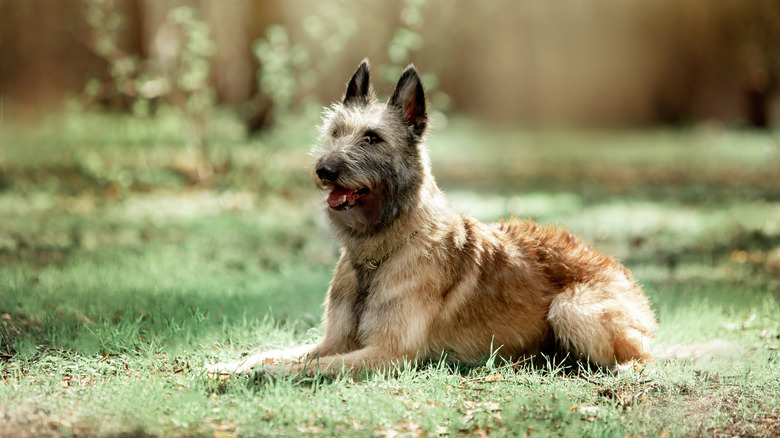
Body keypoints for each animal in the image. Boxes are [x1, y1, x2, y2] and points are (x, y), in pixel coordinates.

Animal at [209, 60, 660, 378]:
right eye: (336, 132)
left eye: (372, 138)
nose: (324, 169)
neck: (380, 250)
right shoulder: (335, 341)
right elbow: (274, 352)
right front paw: (233, 365)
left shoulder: (388, 354)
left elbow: (306, 367)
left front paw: (263, 375)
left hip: (571, 308)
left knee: (640, 359)